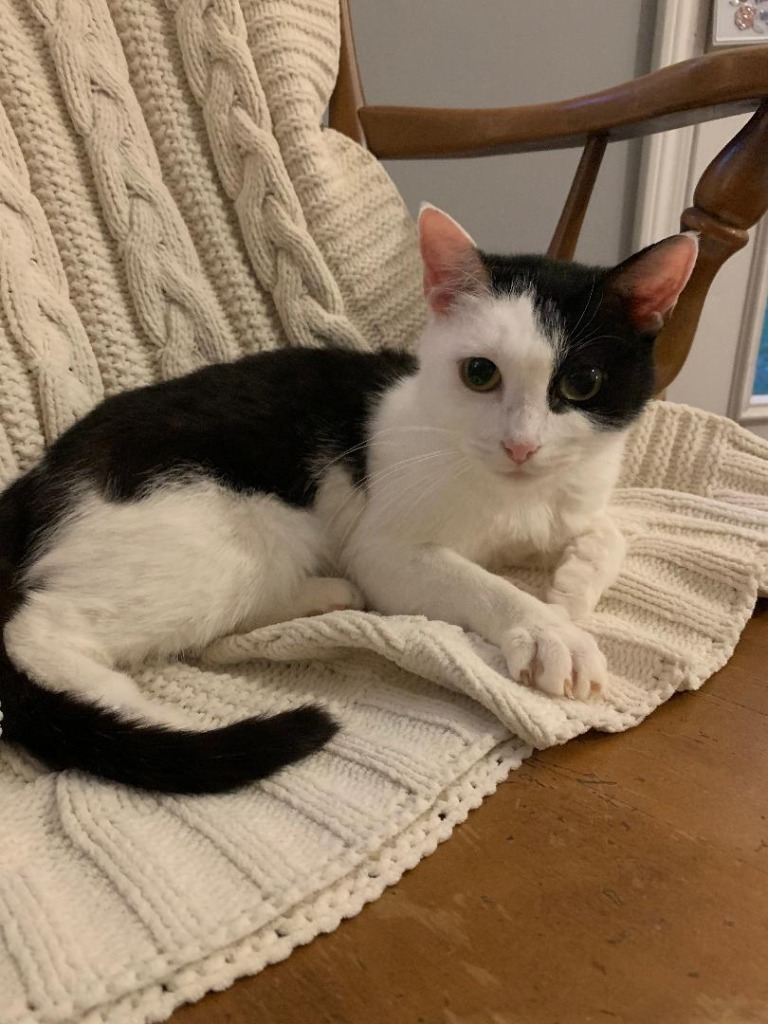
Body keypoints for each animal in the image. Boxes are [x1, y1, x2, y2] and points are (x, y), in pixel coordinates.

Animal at [0, 205, 700, 790]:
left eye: (582, 384)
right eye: (480, 373)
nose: (520, 446)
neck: (515, 497)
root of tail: (38, 479)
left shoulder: (573, 492)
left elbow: (608, 531)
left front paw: (573, 588)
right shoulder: (386, 550)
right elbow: (480, 582)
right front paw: (551, 630)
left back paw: (322, 594)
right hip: (220, 530)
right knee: (41, 634)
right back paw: (144, 719)